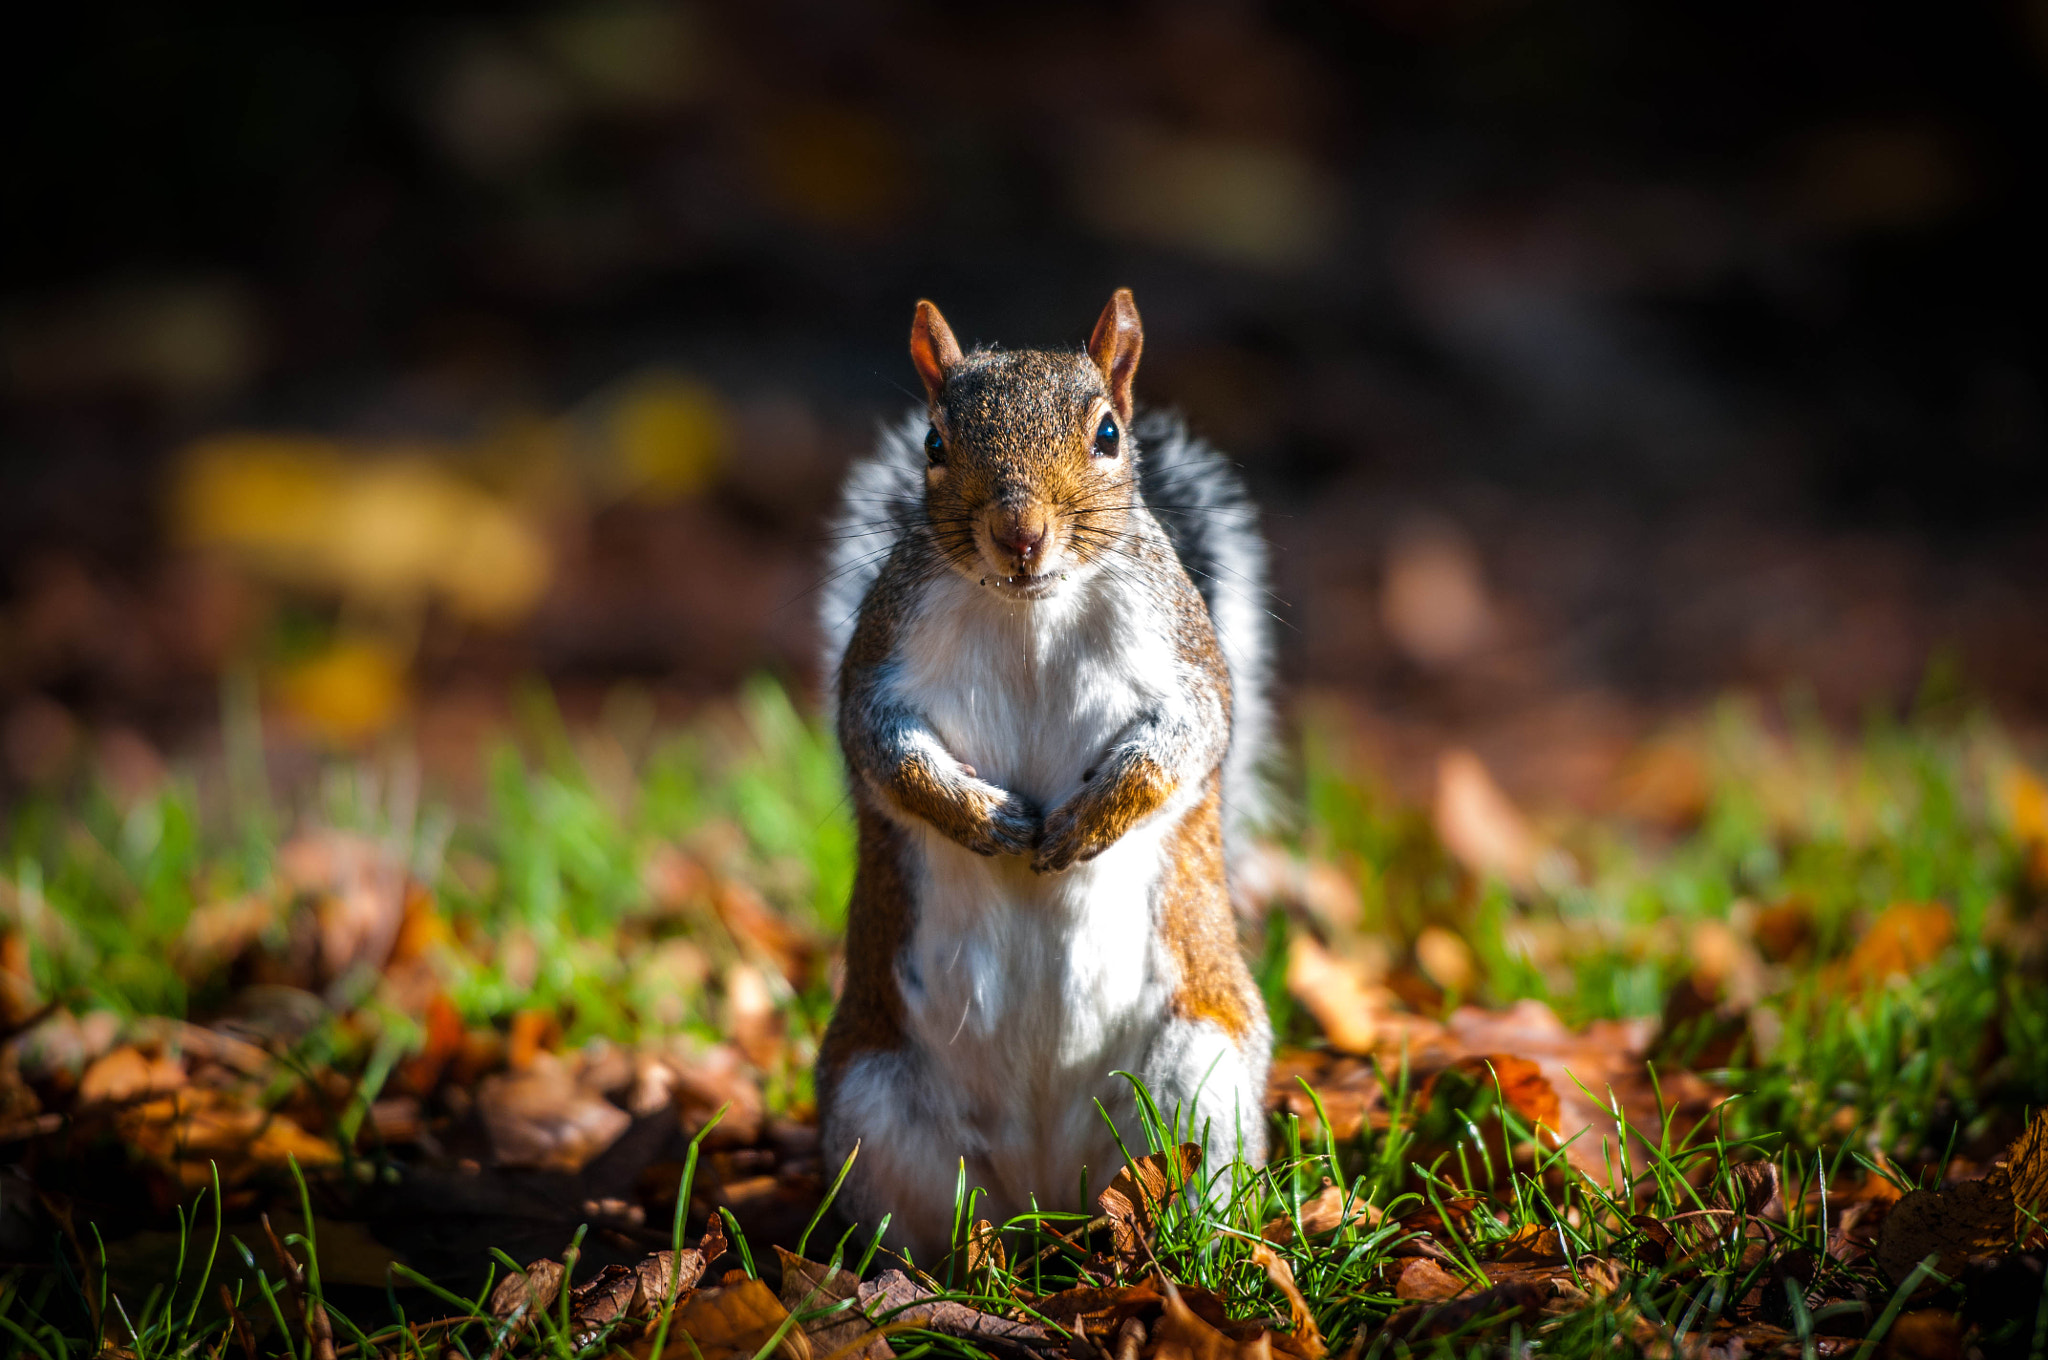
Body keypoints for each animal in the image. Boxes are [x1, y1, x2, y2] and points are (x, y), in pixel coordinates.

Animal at [814, 290, 1276, 1261]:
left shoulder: (1184, 658)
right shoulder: (880, 666)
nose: (1018, 535)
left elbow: (1187, 740)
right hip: (876, 1104)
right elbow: (886, 753)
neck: (1031, 609)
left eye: (1108, 434)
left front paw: (1089, 822)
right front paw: (983, 818)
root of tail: (1045, 1197)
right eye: (933, 442)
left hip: (1200, 1085)